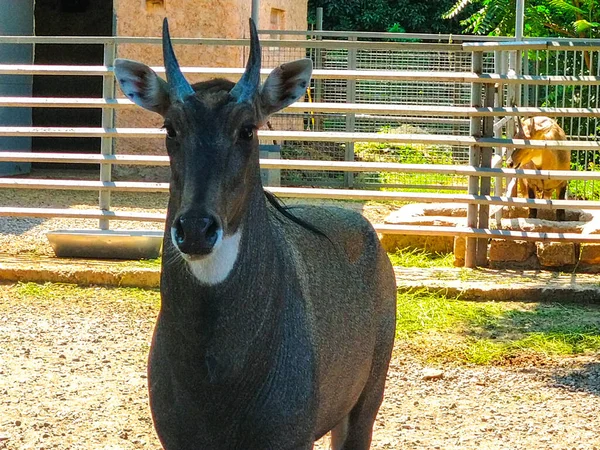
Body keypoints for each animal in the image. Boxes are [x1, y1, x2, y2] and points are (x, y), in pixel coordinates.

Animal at [116, 17, 398, 450]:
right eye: (171, 128)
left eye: (247, 129)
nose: (195, 230)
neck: (215, 377)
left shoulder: (289, 438)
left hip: (367, 399)